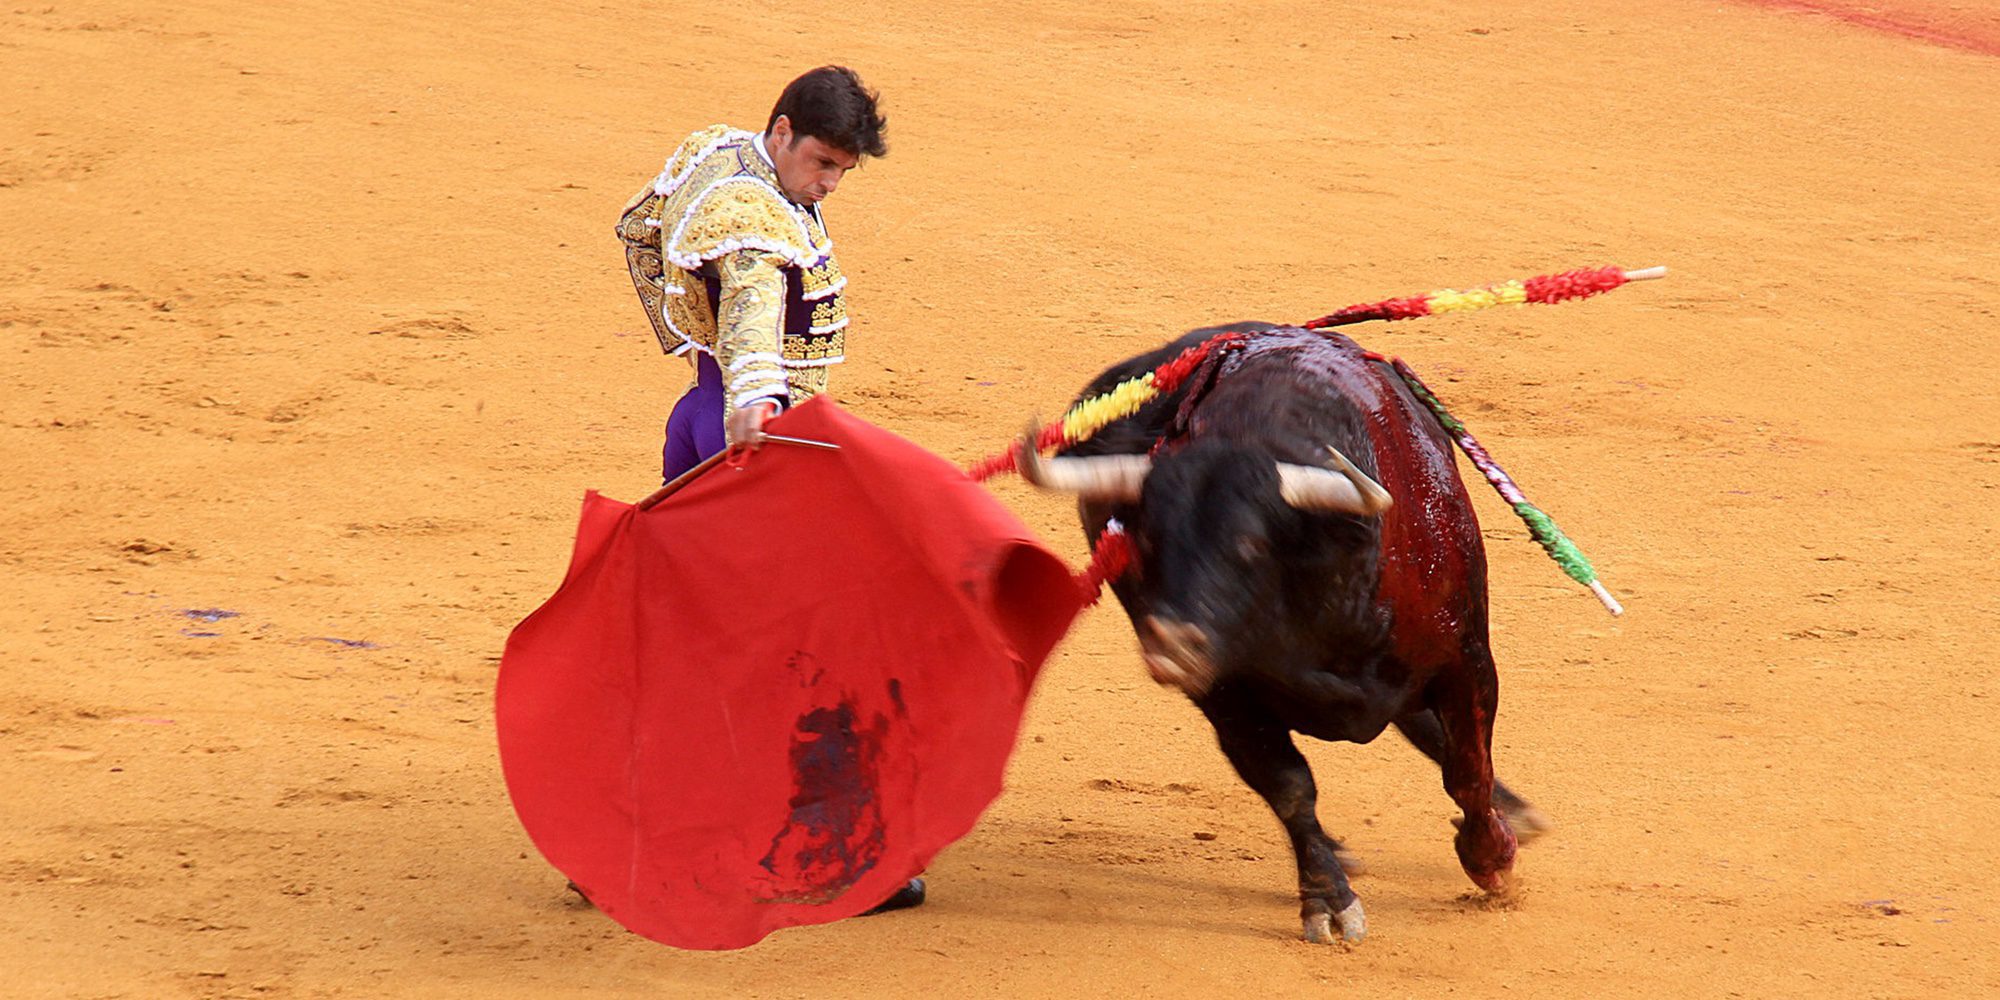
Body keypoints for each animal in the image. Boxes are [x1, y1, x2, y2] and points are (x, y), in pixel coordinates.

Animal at [1016, 322, 1544, 944]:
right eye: (1142, 543)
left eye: (1249, 545)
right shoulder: (1225, 696)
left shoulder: (1466, 659)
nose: (1171, 647)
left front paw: (1491, 858)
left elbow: (1467, 768)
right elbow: (1291, 788)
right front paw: (1329, 901)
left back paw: (1514, 817)